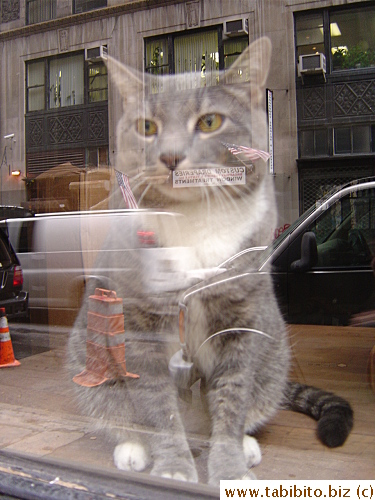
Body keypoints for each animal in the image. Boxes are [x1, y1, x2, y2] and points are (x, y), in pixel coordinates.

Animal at [69, 38, 354, 484]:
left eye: (209, 122)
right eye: (146, 127)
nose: (170, 157)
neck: (193, 220)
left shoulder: (240, 319)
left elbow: (232, 397)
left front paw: (230, 467)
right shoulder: (140, 325)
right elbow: (157, 403)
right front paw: (172, 467)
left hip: (273, 351)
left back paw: (245, 446)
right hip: (90, 348)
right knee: (115, 407)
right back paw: (133, 449)